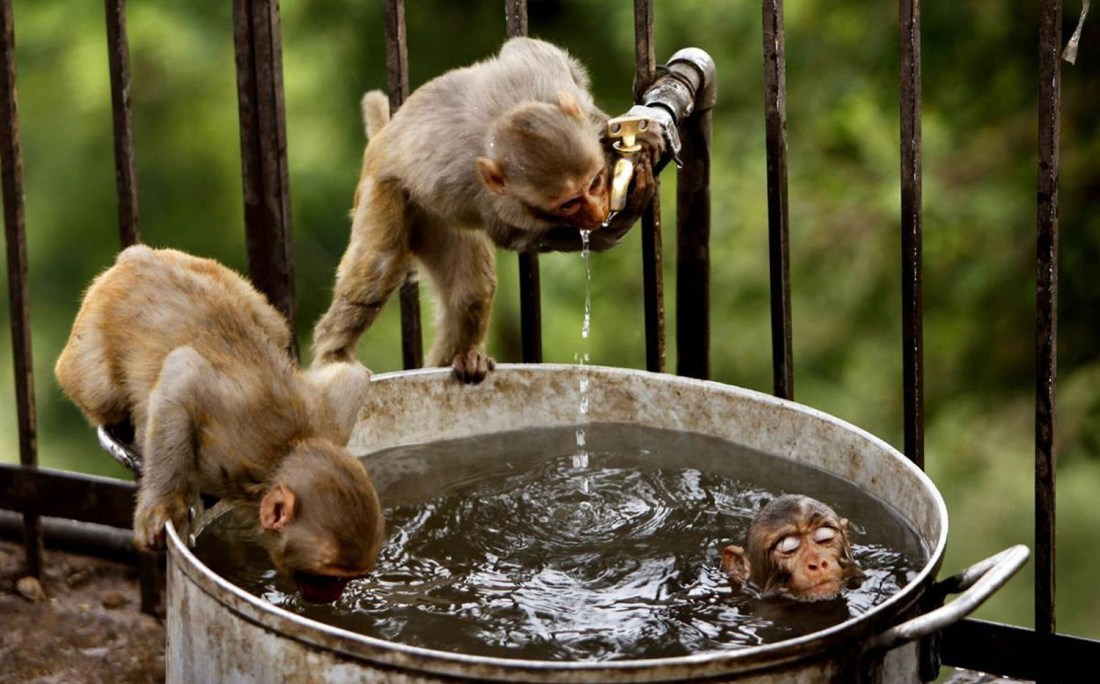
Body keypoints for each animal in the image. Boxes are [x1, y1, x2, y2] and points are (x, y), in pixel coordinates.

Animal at [55, 245, 385, 603]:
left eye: (348, 577)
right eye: (329, 576)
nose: (331, 595)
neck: (283, 453)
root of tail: (138, 256)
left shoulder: (329, 420)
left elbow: (353, 375)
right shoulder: (228, 447)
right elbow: (183, 371)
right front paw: (160, 504)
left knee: (274, 327)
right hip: (90, 340)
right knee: (103, 393)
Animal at [312, 36, 663, 383]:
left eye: (595, 182)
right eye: (569, 203)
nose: (596, 212)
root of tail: (382, 138)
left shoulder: (546, 75)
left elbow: (527, 48)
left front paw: (622, 134)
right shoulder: (498, 205)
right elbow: (515, 236)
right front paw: (616, 223)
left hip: (435, 221)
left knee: (471, 292)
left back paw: (462, 359)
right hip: (386, 191)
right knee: (378, 268)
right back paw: (334, 357)